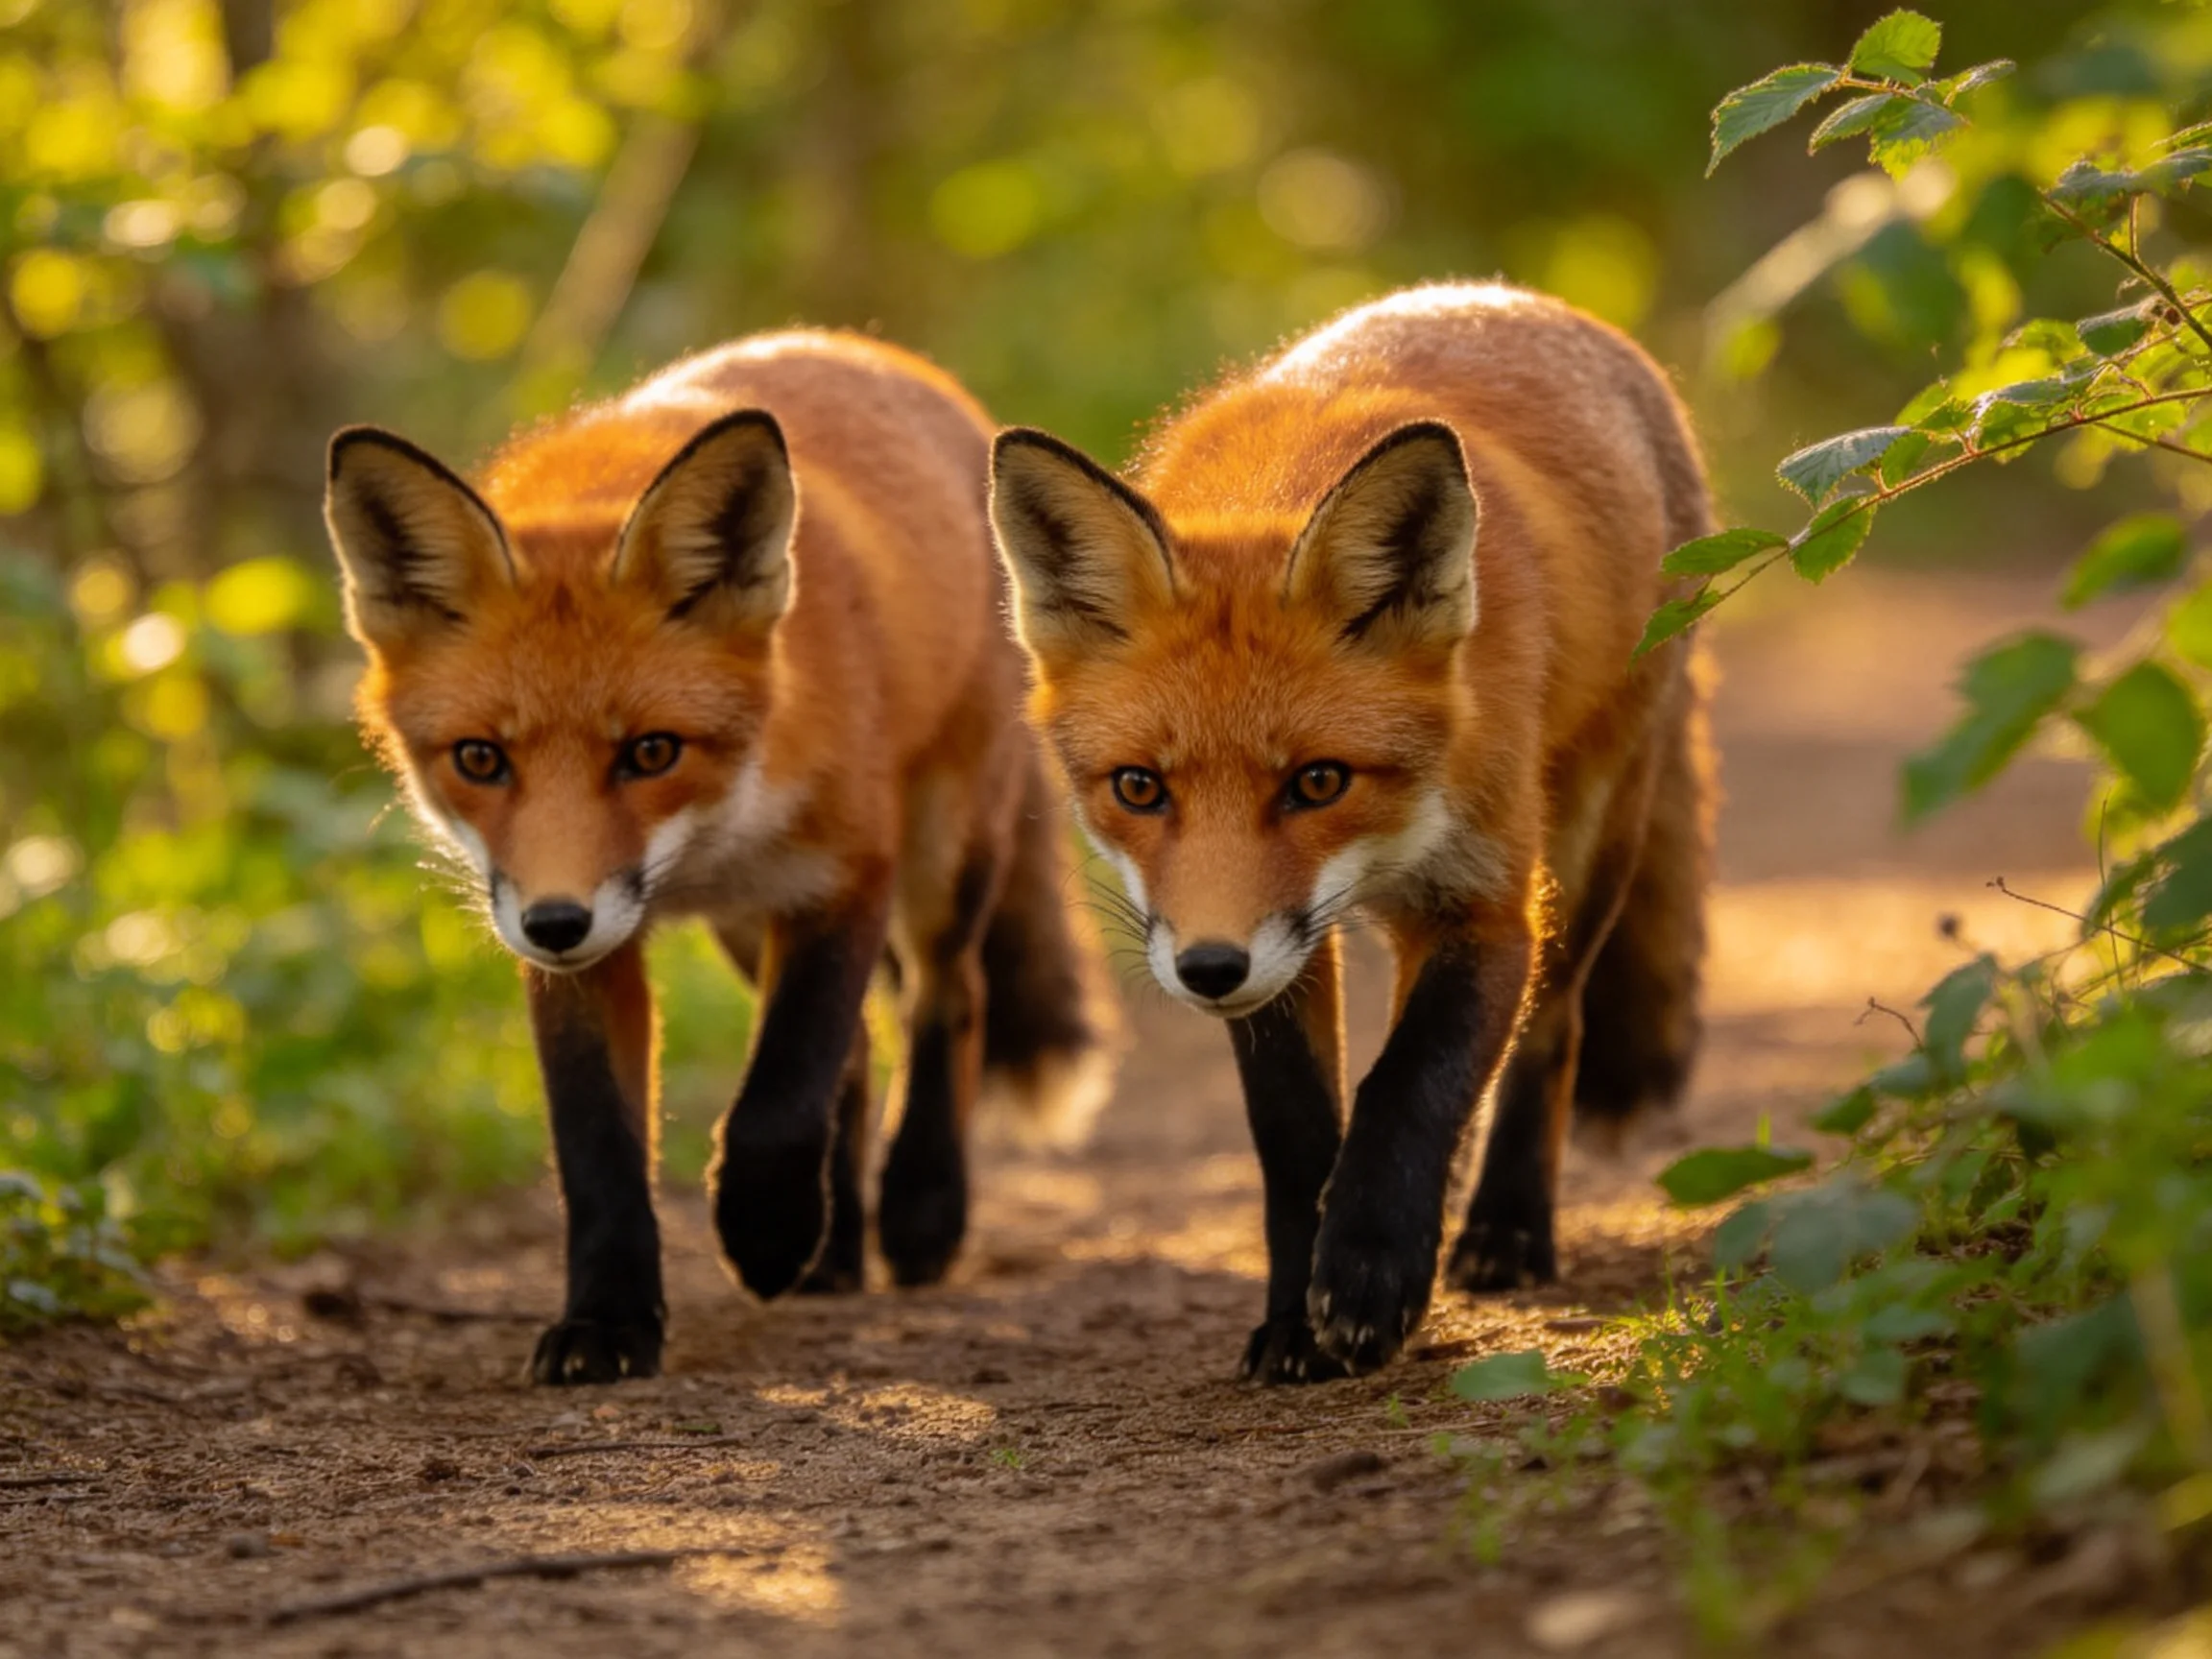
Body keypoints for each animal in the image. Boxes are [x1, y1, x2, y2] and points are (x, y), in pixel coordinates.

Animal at [324, 332, 1115, 1385]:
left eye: (651, 752)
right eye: (480, 760)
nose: (555, 922)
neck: (716, 832)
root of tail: (870, 348)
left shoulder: (845, 877)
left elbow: (779, 1101)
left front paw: (766, 1233)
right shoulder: (586, 954)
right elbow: (600, 1153)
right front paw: (608, 1322)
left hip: (944, 854)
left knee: (945, 1000)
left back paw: (917, 1213)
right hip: (745, 930)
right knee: (859, 1052)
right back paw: (836, 1253)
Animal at [988, 283, 1715, 1382]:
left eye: (1318, 781)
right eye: (1140, 788)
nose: (1208, 971)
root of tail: (1522, 297)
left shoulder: (1484, 905)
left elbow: (1410, 1083)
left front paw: (1373, 1269)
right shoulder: (1269, 946)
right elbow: (1297, 1132)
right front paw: (1298, 1314)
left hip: (1591, 842)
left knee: (1551, 1030)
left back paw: (1504, 1228)